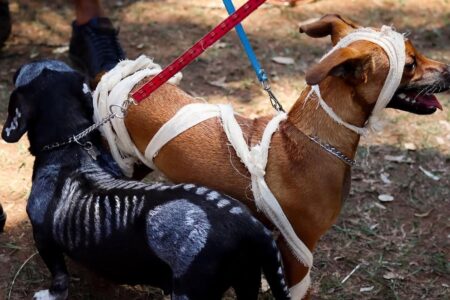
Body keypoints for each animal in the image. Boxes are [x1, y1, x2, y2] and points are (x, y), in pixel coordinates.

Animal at [2, 61, 292, 300]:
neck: (70, 149)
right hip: (247, 279)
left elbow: (59, 278)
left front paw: (51, 294)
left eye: (20, 73)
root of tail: (252, 228)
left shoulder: (43, 238)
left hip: (191, 292)